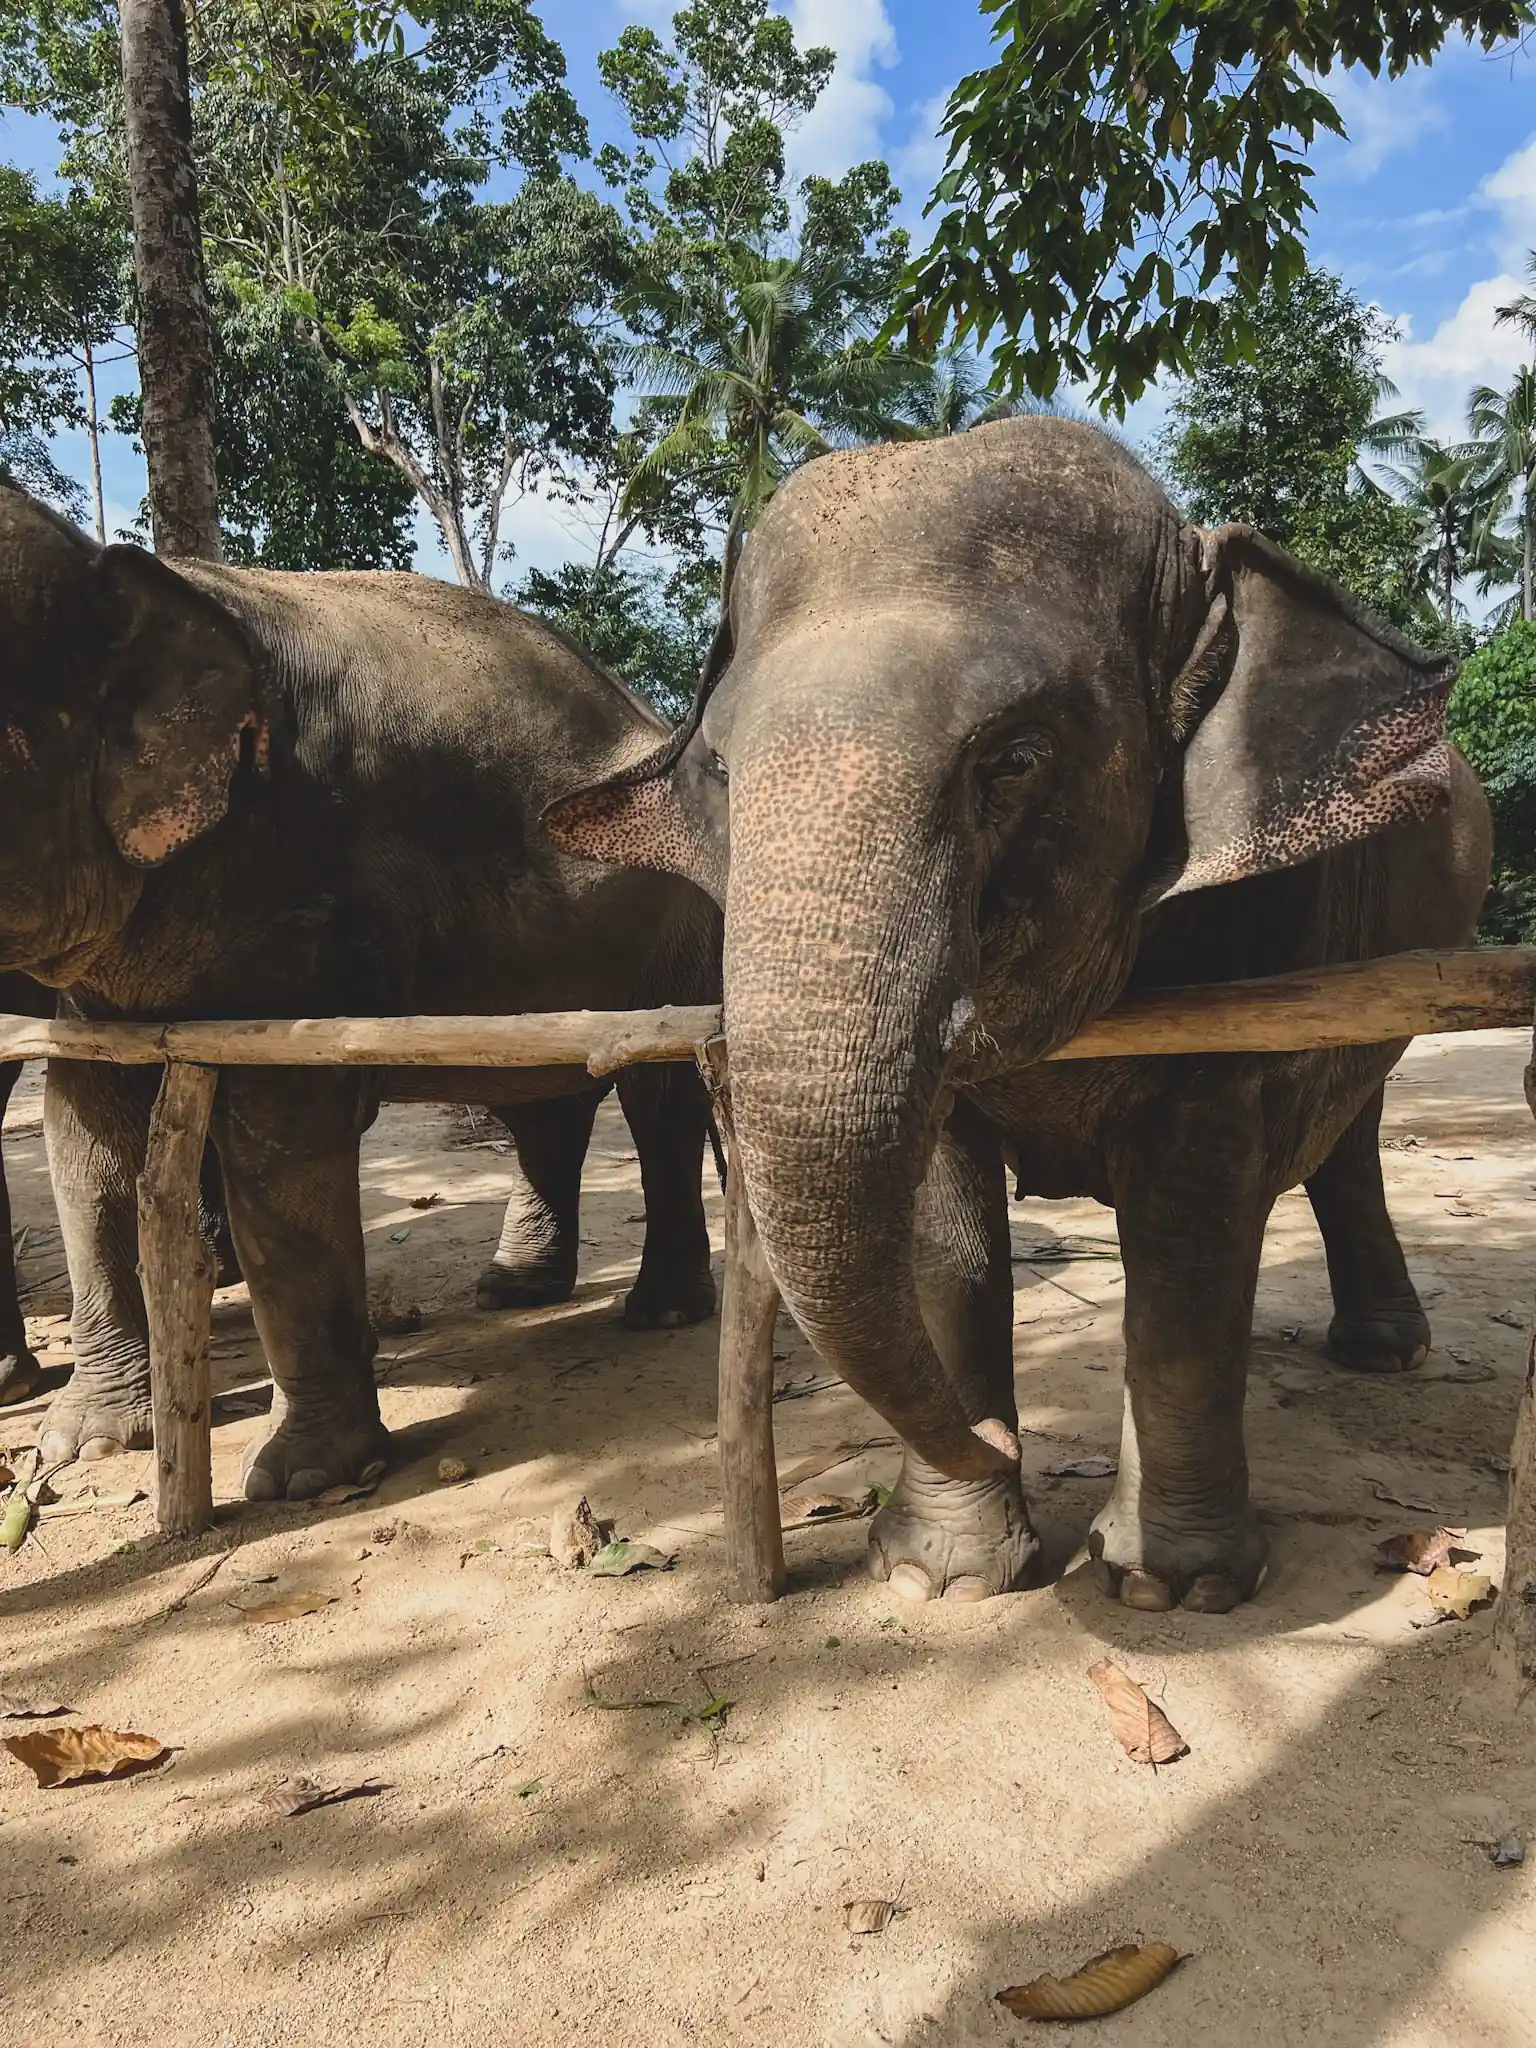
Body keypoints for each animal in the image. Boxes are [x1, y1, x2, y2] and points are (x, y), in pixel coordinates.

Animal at [0, 487, 720, 1499]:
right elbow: (84, 1135)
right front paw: (89, 1445)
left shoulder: (306, 908)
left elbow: (280, 1143)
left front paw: (304, 1481)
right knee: (541, 1097)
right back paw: (514, 1290)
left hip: (679, 932)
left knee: (657, 1097)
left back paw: (661, 1315)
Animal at [548, 415, 1499, 1613]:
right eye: (718, 769)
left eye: (1016, 758)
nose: (1004, 1438)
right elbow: (944, 1225)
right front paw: (941, 1574)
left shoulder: (1249, 963)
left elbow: (1191, 1224)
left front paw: (1173, 1590)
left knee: (1352, 1121)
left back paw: (1384, 1353)